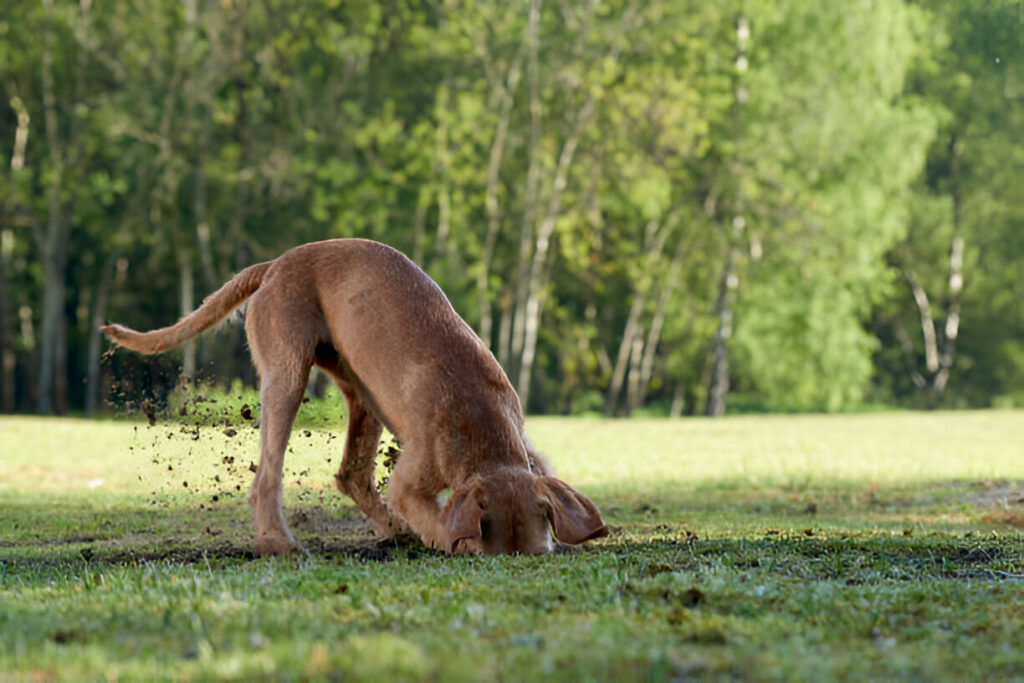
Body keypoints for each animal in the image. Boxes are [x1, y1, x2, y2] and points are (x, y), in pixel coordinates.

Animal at [99, 239, 602, 557]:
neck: (483, 430)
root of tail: (276, 263)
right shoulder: (410, 481)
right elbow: (440, 524)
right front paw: (444, 540)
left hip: (360, 391)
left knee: (351, 474)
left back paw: (394, 532)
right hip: (286, 373)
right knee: (268, 477)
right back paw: (279, 544)